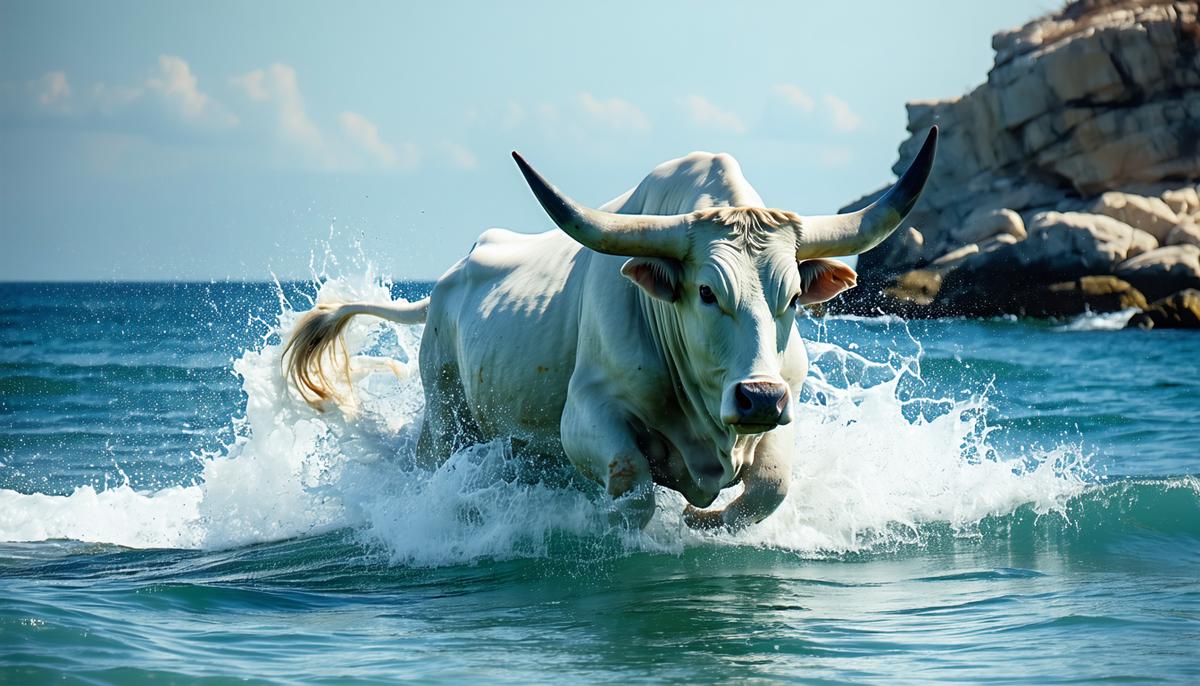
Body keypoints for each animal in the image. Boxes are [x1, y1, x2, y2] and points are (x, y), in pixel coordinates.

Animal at [284, 126, 937, 530]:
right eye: (707, 291)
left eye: (795, 296)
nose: (758, 396)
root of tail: (446, 283)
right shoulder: (586, 415)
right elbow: (632, 489)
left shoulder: (785, 407)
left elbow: (769, 486)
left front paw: (702, 517)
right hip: (446, 420)